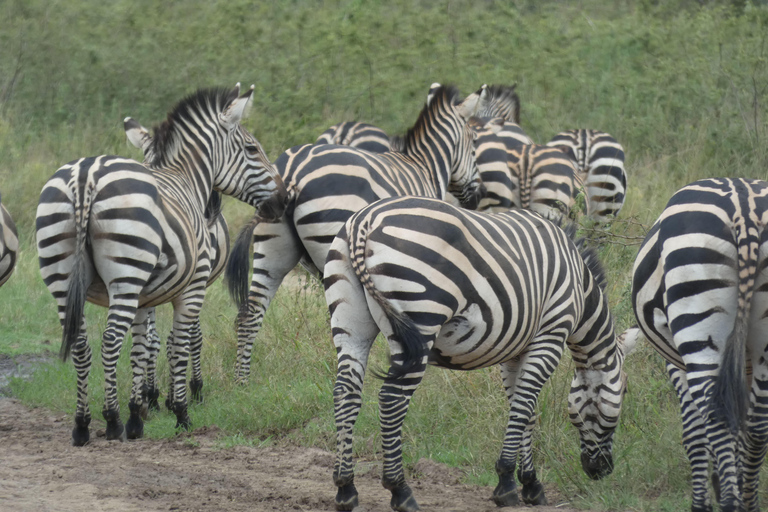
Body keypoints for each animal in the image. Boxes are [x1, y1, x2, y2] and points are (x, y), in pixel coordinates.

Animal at [226, 82, 486, 382]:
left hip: (272, 246)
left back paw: (241, 381)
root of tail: (292, 172)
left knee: (251, 313)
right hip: (334, 243)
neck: (426, 167)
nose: (477, 197)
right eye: (474, 145)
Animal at [324, 195, 632, 508]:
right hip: (422, 316)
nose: (602, 471)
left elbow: (522, 408)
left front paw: (528, 483)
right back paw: (400, 490)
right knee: (392, 398)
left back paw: (345, 488)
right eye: (624, 393)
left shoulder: (515, 350)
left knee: (345, 392)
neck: (581, 289)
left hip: (350, 319)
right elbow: (525, 406)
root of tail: (364, 221)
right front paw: (509, 484)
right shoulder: (551, 335)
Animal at [632, 178, 768, 510]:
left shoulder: (676, 362)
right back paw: (746, 501)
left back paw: (730, 501)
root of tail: (744, 209)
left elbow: (694, 433)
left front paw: (702, 500)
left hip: (697, 325)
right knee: (757, 426)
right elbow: (740, 427)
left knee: (715, 419)